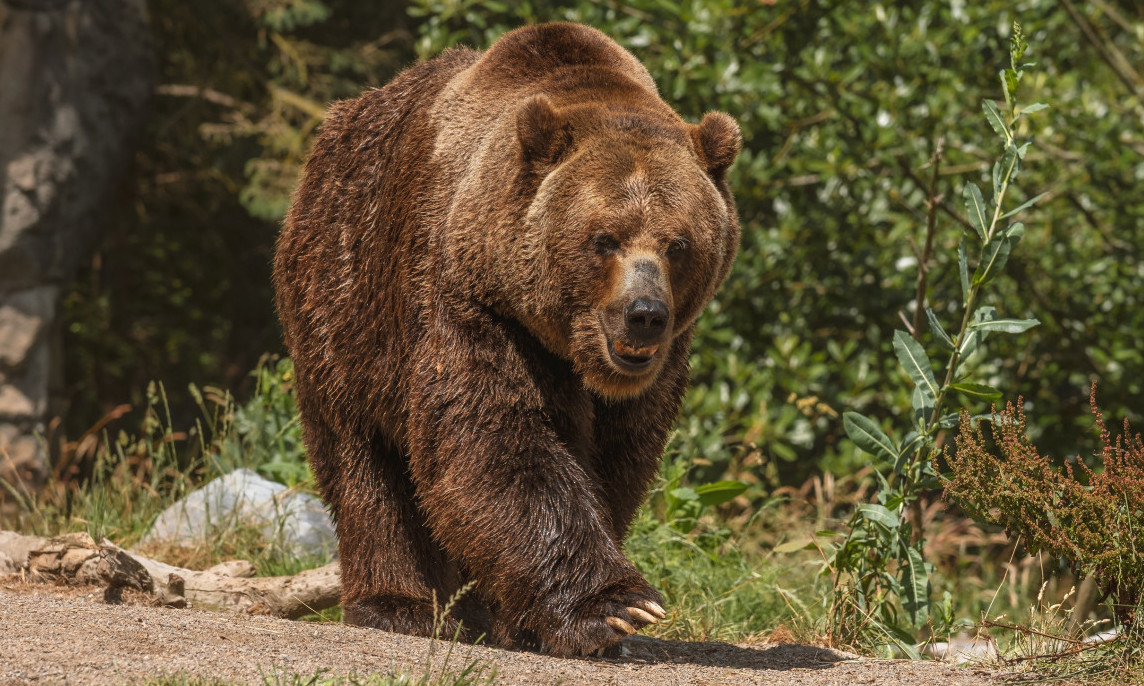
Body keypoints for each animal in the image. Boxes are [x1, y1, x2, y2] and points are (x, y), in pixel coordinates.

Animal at [274, 20, 741, 653]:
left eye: (678, 244)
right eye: (604, 239)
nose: (644, 314)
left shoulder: (652, 374)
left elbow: (617, 462)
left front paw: (534, 619)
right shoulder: (472, 302)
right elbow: (495, 439)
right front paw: (614, 607)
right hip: (343, 298)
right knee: (364, 461)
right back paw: (397, 604)